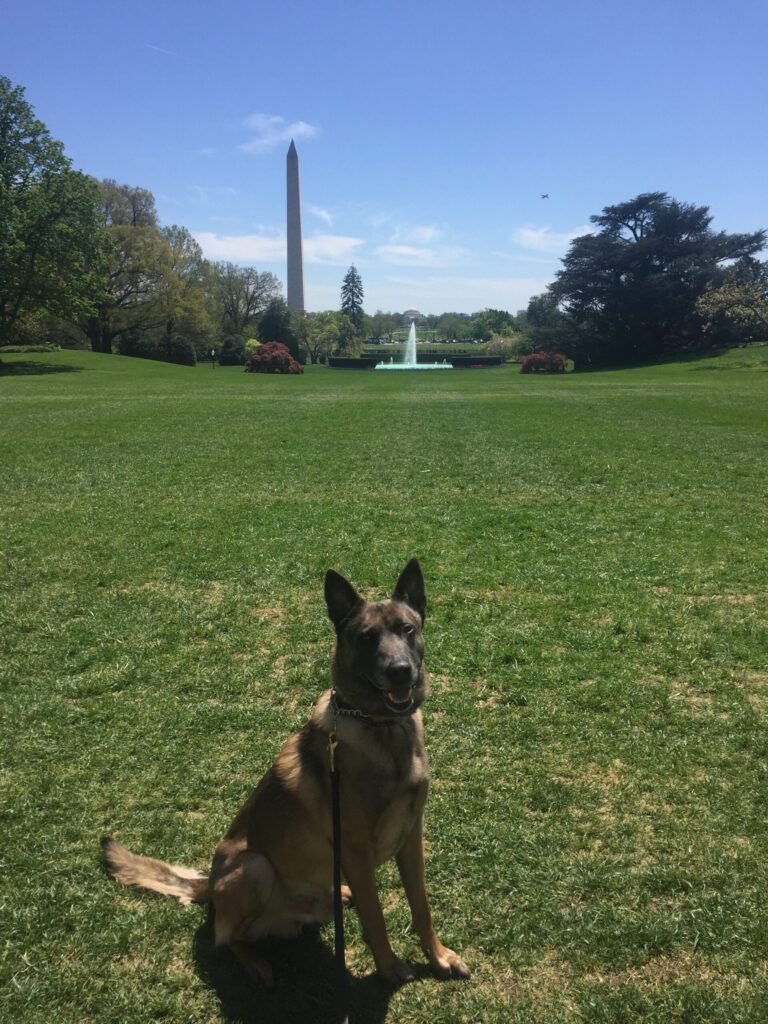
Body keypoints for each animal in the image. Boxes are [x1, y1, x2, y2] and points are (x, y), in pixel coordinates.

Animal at [102, 559, 469, 987]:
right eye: (366, 637)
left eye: (407, 629)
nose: (399, 671)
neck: (381, 727)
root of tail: (208, 885)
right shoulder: (356, 850)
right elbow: (376, 917)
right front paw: (389, 966)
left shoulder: (411, 838)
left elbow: (421, 906)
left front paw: (439, 956)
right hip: (254, 867)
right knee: (227, 939)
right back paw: (256, 964)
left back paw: (339, 894)